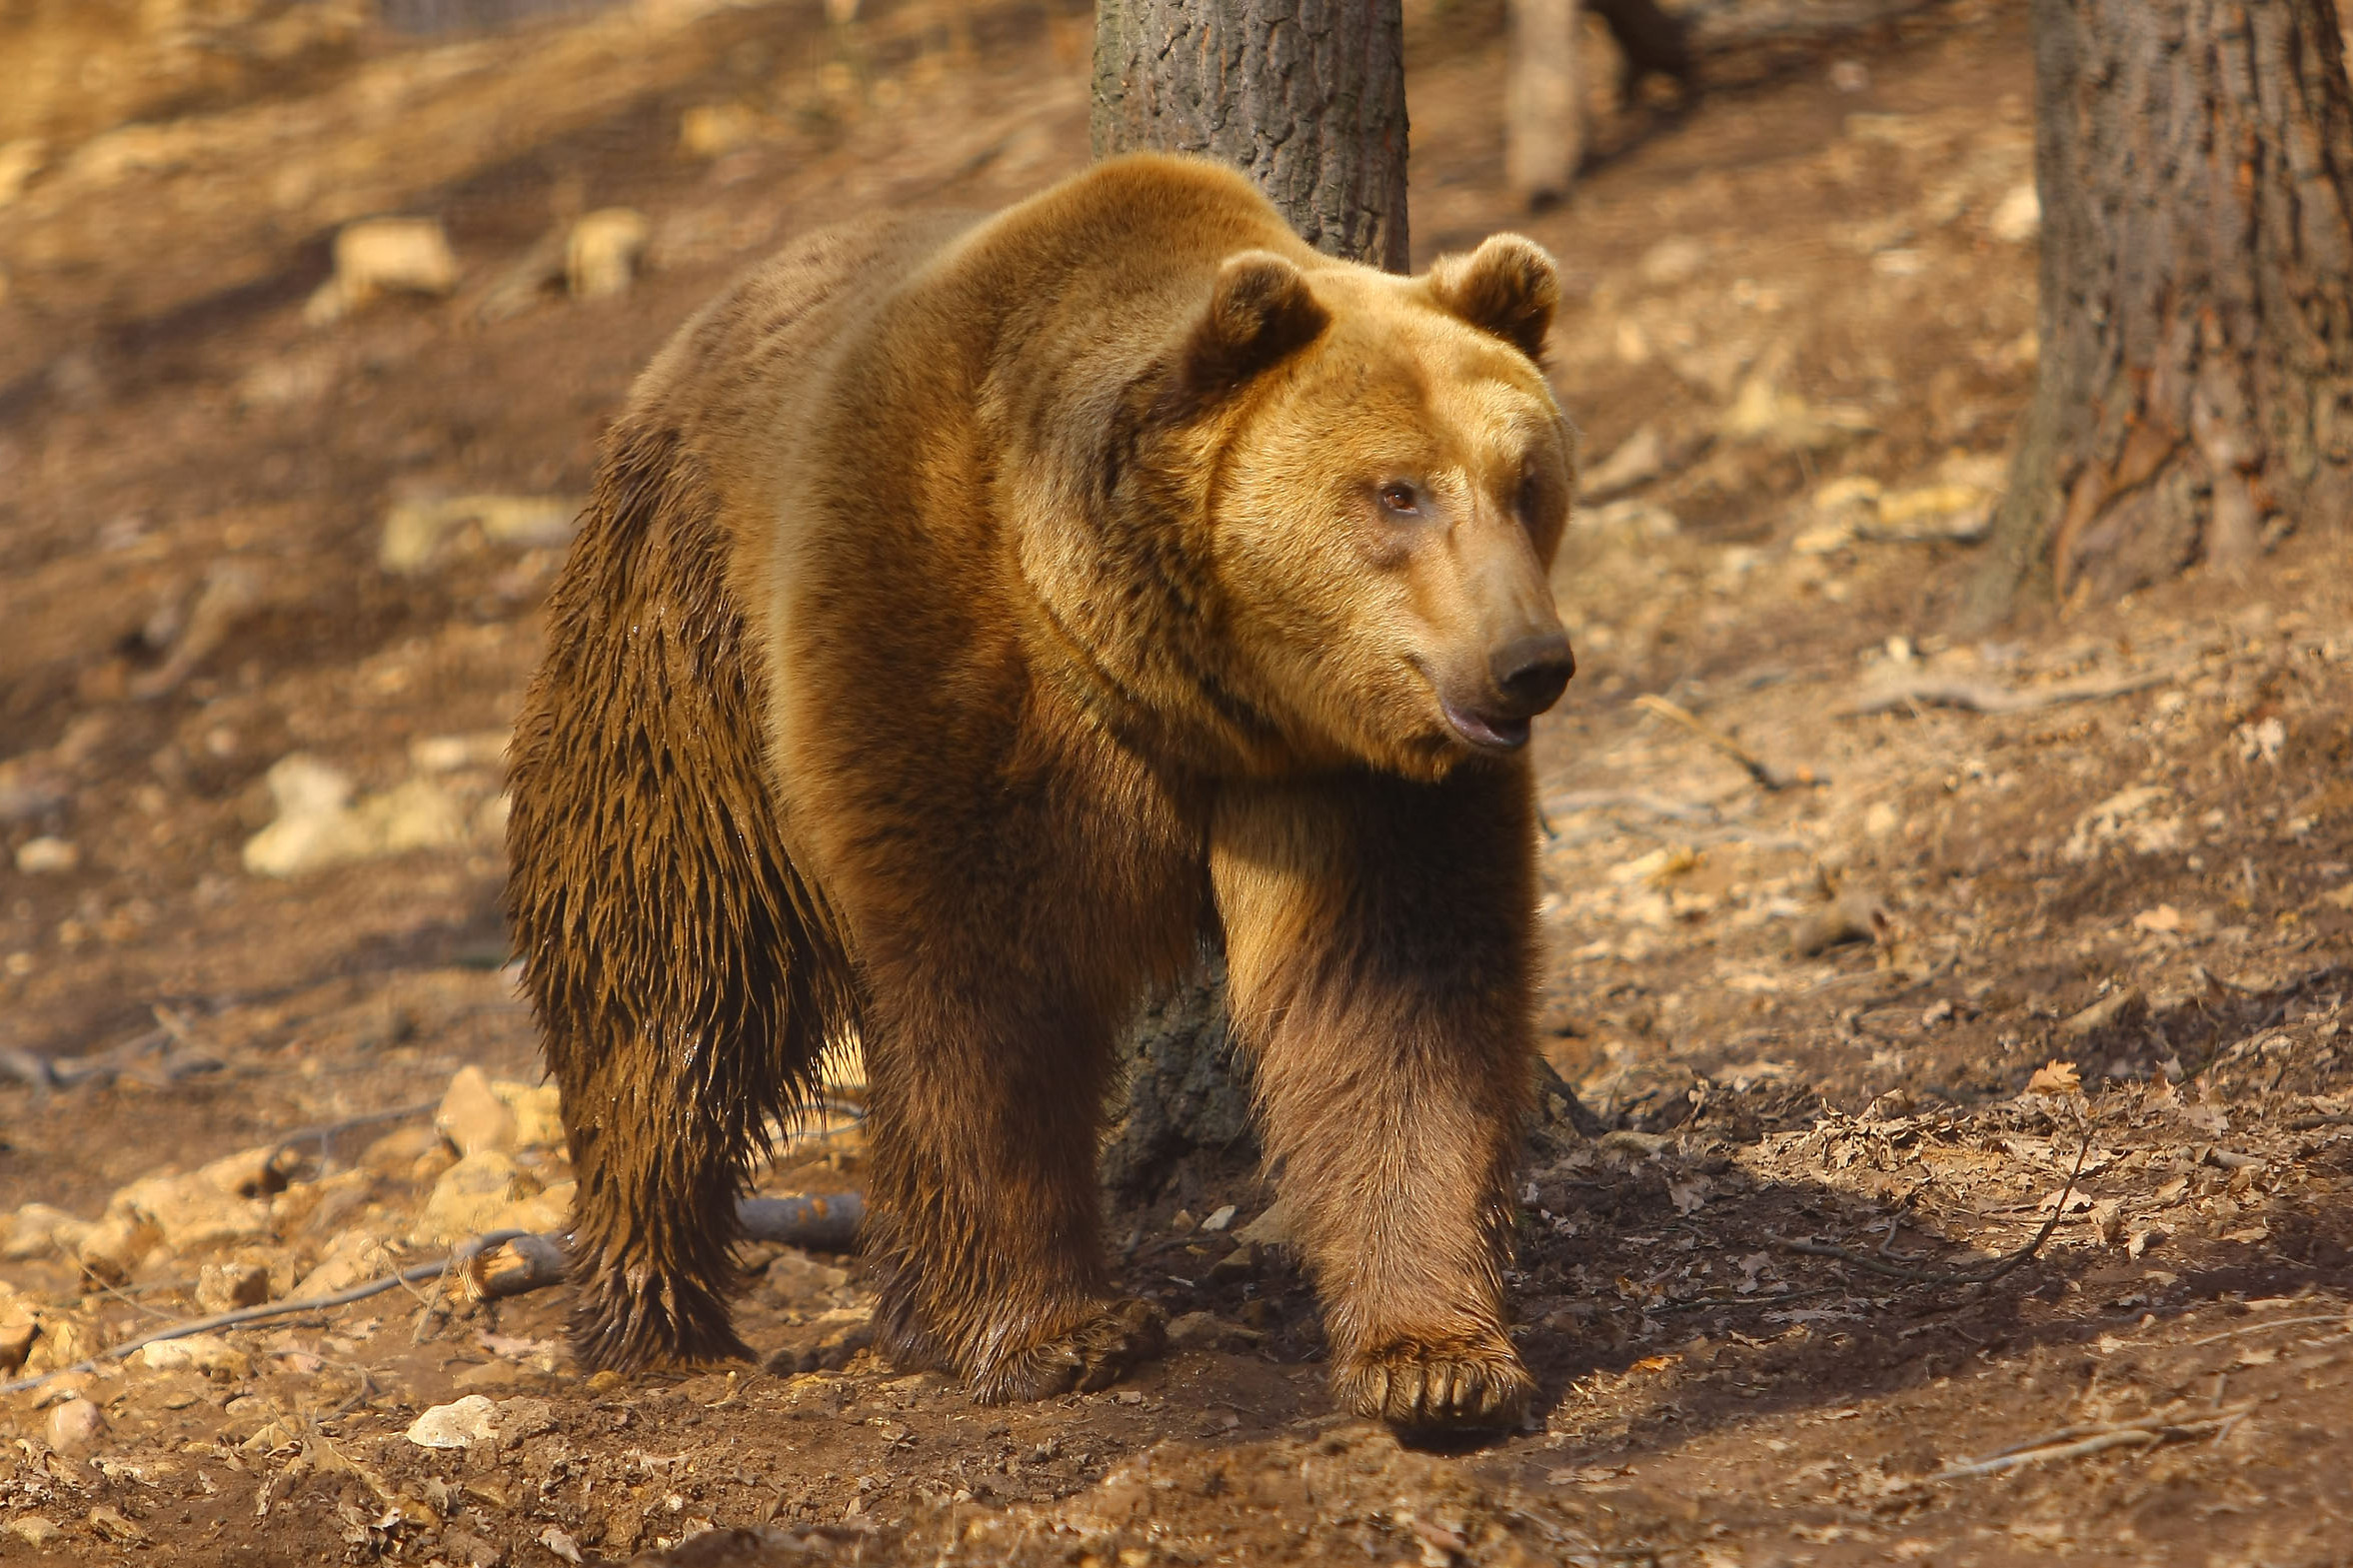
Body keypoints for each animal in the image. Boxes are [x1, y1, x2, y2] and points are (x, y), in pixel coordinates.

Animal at [503, 152, 1571, 1429]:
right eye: (1396, 492)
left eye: (1526, 480)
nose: (1528, 662)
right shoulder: (948, 657)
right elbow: (988, 993)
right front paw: (1058, 1332)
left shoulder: (1351, 780)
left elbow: (1394, 1005)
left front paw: (1434, 1358)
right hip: (678, 650)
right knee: (662, 972)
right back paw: (649, 1312)